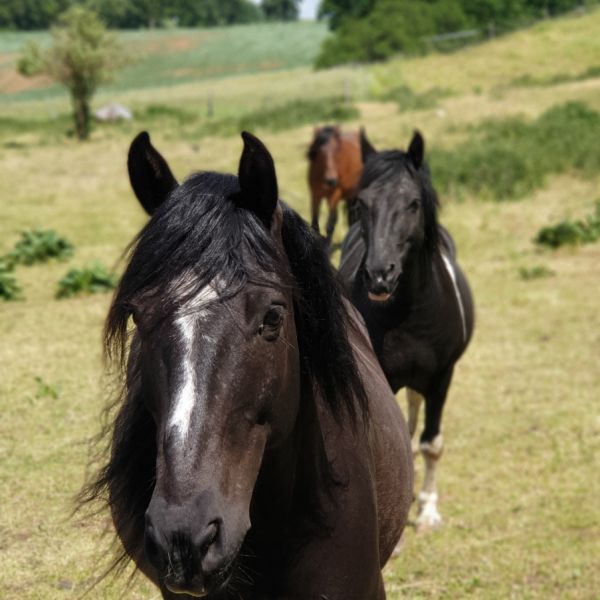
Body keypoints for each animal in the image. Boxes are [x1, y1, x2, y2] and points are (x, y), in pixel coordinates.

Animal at [340, 130, 472, 528]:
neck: (409, 315)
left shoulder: (443, 376)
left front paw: (427, 509)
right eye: (361, 204)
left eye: (412, 203)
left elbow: (432, 443)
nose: (379, 276)